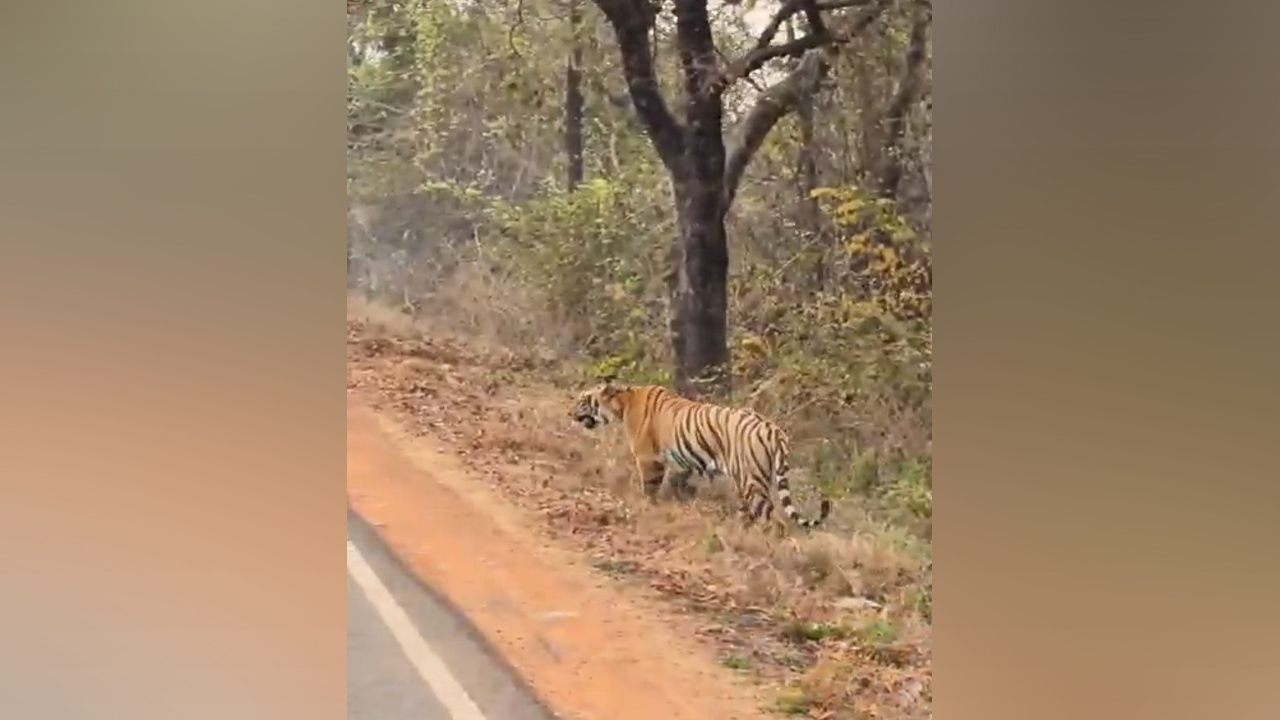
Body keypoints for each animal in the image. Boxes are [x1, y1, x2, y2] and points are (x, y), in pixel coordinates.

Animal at [569, 379, 831, 530]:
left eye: (583, 399)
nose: (569, 413)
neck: (624, 403)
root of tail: (773, 430)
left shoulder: (648, 458)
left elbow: (649, 488)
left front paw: (647, 508)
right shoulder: (682, 463)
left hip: (752, 482)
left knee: (771, 518)